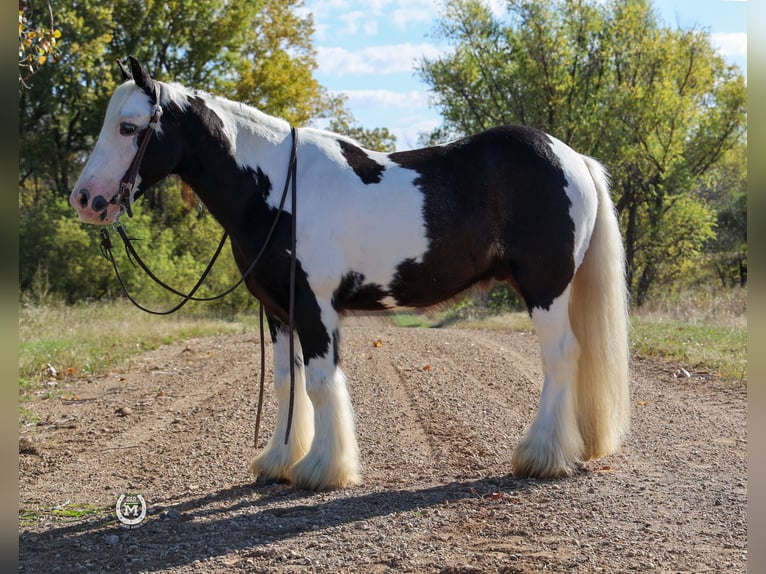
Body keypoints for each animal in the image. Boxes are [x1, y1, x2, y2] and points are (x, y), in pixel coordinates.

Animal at [69, 57, 632, 490]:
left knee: (561, 357)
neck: (277, 189)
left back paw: (540, 456)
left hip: (545, 287)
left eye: (128, 127)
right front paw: (279, 461)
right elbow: (287, 382)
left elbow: (321, 383)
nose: (86, 199)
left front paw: (322, 469)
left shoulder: (316, 307)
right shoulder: (279, 310)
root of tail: (571, 157)